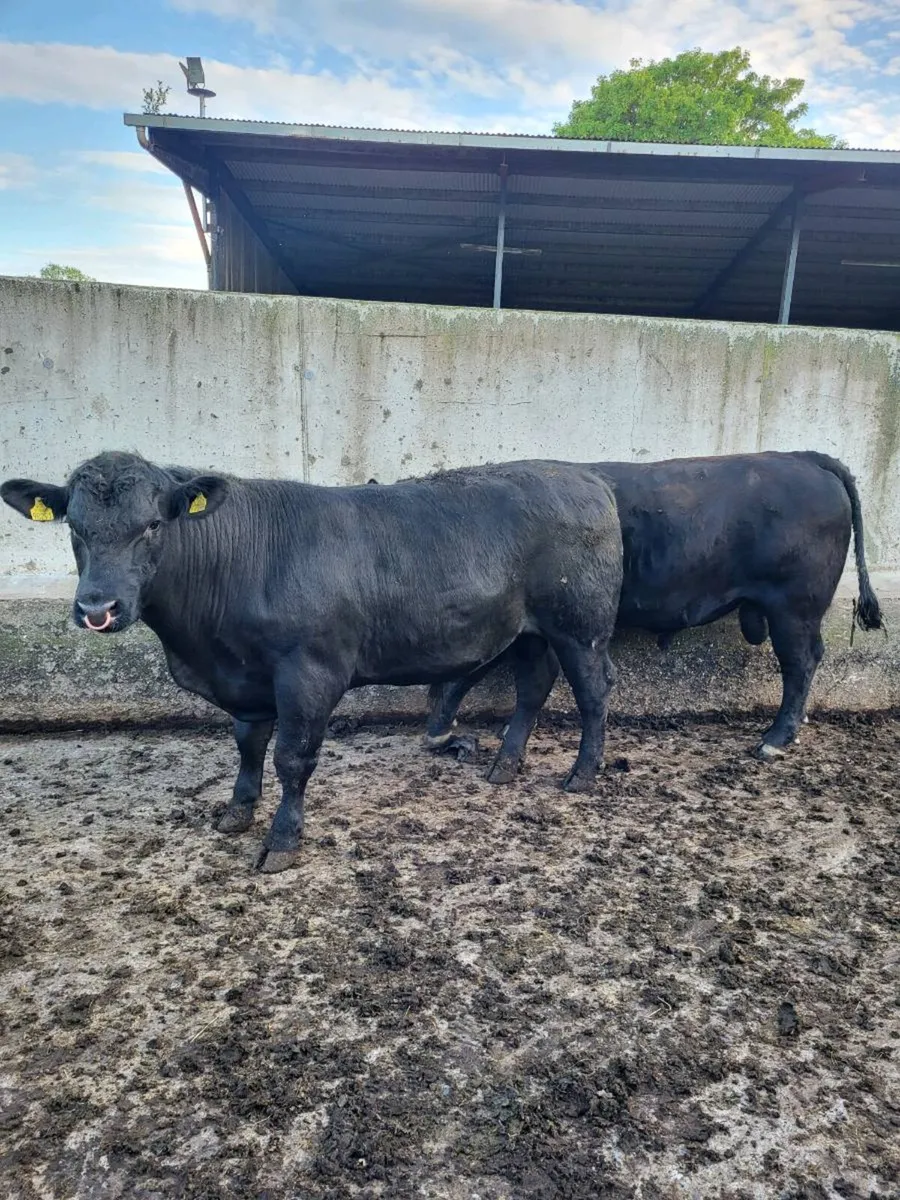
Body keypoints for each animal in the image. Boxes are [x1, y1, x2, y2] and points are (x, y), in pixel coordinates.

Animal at [1, 453, 623, 873]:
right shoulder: (246, 677)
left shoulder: (309, 673)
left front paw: (281, 841)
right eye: (74, 527)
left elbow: (291, 758)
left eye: (153, 524)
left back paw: (581, 774)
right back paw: (505, 765)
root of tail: (582, 475)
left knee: (593, 694)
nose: (96, 608)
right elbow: (248, 746)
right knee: (533, 686)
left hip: (581, 625)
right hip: (529, 632)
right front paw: (237, 811)